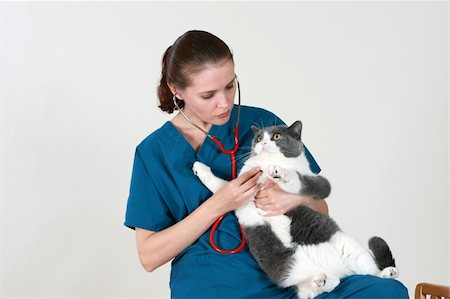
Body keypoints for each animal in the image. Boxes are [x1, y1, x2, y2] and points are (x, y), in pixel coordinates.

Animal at [192, 120, 400, 298]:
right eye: (258, 138)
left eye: (276, 136)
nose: (264, 142)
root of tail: (337, 269)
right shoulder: (241, 191)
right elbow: (220, 186)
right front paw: (199, 167)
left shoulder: (320, 183)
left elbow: (300, 180)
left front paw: (280, 173)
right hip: (289, 268)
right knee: (319, 288)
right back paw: (322, 281)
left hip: (348, 246)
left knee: (371, 271)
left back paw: (387, 272)